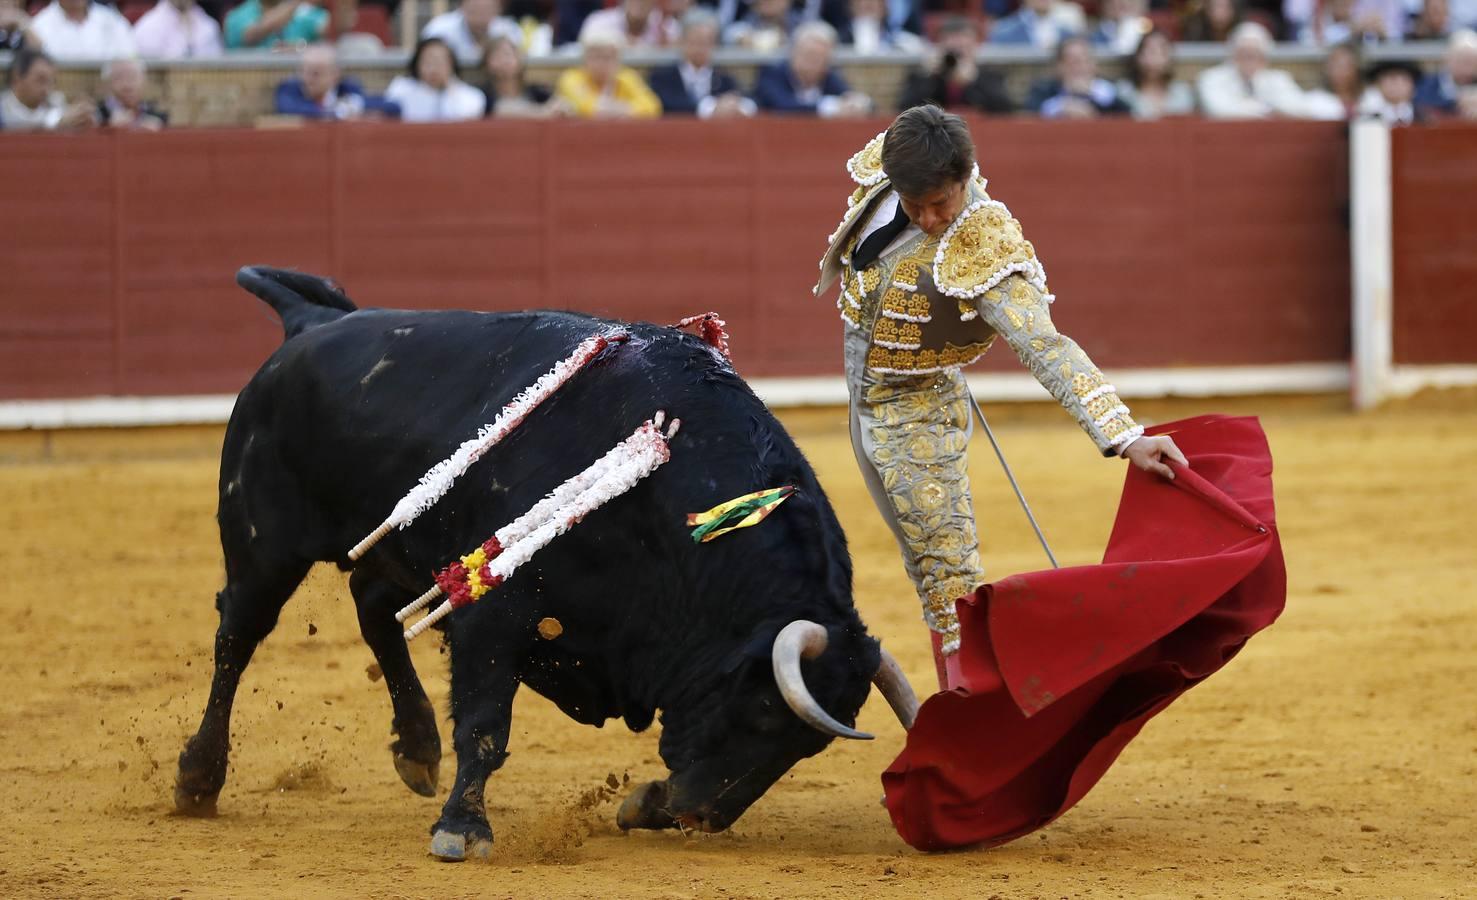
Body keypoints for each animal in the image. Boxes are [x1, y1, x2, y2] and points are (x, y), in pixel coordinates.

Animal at [172, 264, 909, 857]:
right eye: (759, 714)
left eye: (807, 747)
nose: (699, 815)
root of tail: (312, 322)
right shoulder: (494, 611)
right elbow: (485, 723)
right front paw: (462, 830)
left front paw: (645, 803)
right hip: (261, 542)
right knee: (238, 636)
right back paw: (198, 780)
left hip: (395, 549)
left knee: (373, 610)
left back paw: (416, 749)